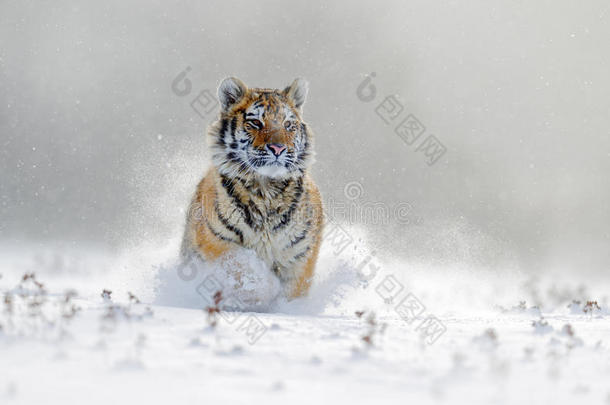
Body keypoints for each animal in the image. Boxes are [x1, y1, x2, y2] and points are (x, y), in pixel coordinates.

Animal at [179, 76, 324, 296]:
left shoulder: (300, 253)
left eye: (288, 124)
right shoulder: (215, 240)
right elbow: (245, 268)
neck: (266, 190)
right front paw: (267, 288)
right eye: (255, 122)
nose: (278, 148)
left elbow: (294, 290)